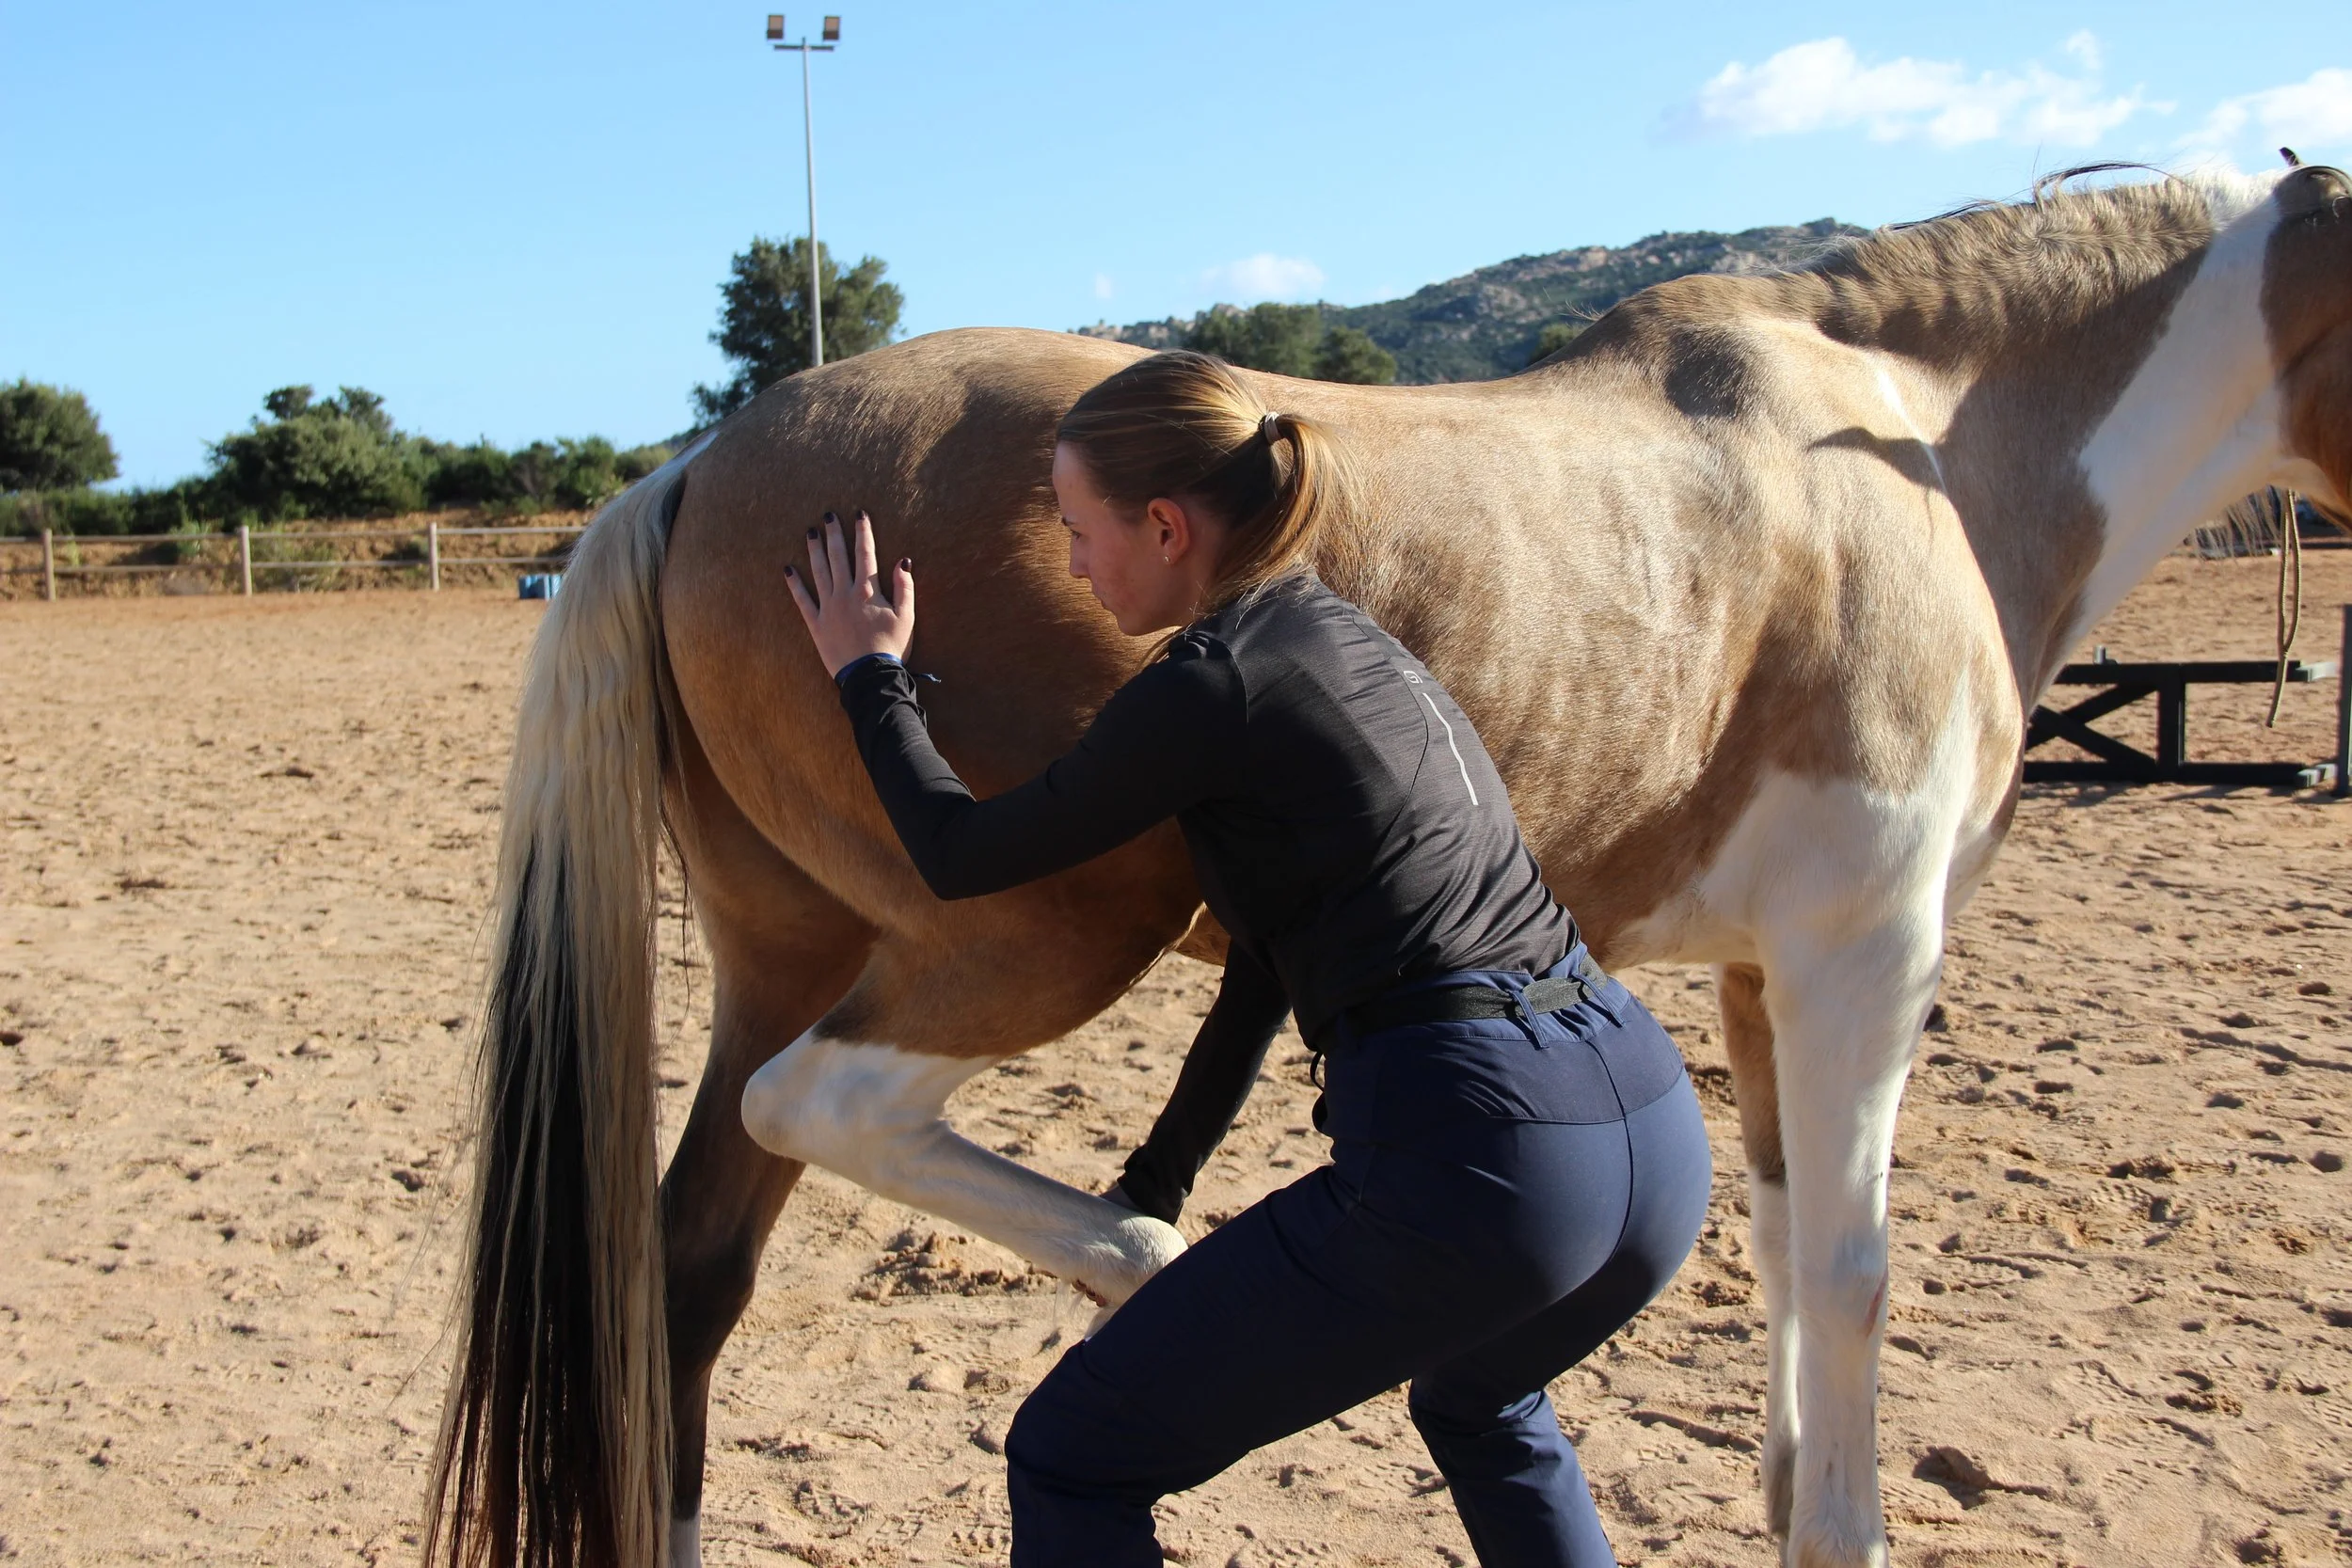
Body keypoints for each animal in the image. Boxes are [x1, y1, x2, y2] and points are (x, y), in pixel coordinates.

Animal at [427, 163, 2352, 1568]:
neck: (1912, 453)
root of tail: (698, 468)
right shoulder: (1864, 957)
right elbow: (1855, 1265)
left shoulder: (1766, 974)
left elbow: (1787, 1235)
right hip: (1039, 939)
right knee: (829, 1109)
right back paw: (1134, 1244)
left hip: (785, 954)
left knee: (686, 1274)